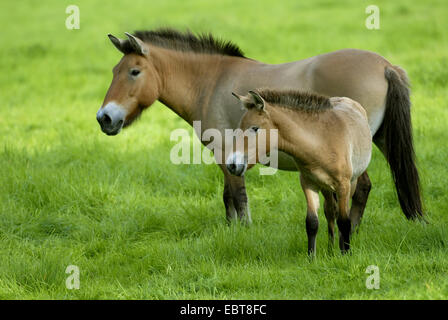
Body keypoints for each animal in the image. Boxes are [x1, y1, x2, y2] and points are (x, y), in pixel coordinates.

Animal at [95, 28, 424, 228]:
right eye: (114, 71)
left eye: (134, 72)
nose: (104, 118)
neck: (211, 82)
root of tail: (385, 66)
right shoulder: (228, 157)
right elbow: (228, 196)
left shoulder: (227, 153)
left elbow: (237, 196)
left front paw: (243, 231)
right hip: (379, 140)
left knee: (361, 186)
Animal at [228, 90, 372, 255]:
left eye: (255, 128)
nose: (232, 165)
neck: (321, 141)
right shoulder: (308, 183)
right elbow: (312, 222)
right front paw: (311, 257)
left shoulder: (343, 185)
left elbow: (344, 222)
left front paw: (346, 254)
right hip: (326, 188)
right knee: (330, 212)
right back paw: (330, 251)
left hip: (350, 184)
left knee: (342, 215)